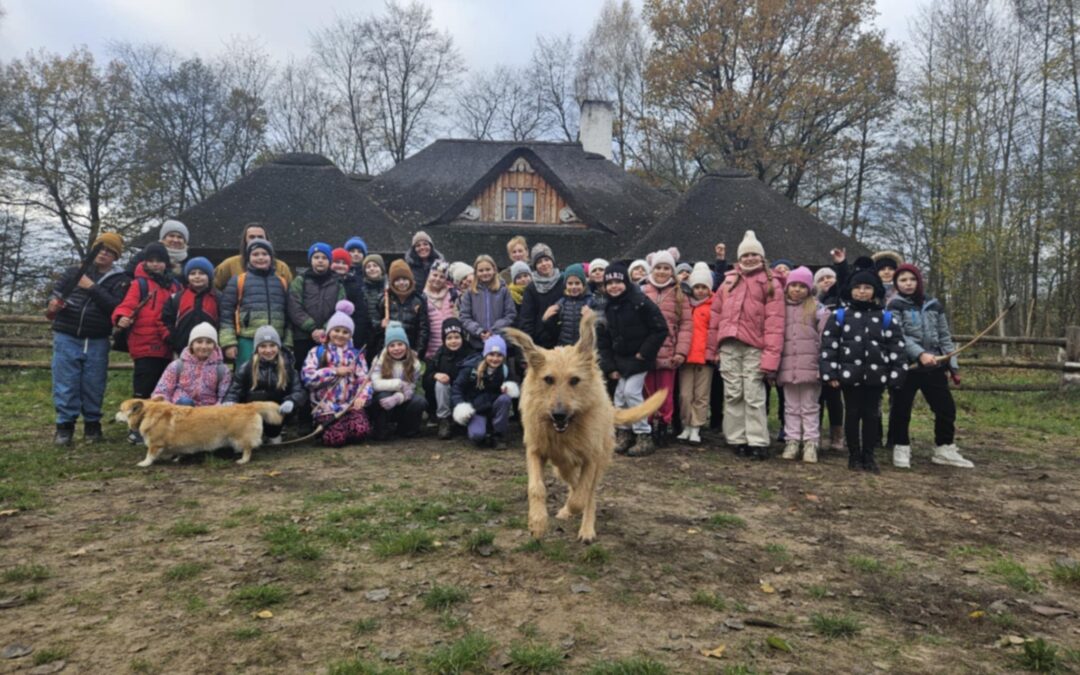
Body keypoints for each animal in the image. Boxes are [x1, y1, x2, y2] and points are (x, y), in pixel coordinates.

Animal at [116, 397, 282, 466]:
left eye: (121, 410)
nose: (113, 416)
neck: (146, 413)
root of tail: (250, 405)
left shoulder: (155, 444)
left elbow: (149, 455)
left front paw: (144, 463)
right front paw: (176, 458)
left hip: (240, 437)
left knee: (248, 449)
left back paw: (243, 460)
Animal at [505, 311, 665, 542]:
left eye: (574, 380)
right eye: (548, 379)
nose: (559, 415)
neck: (566, 431)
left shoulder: (592, 458)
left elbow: (582, 497)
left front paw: (574, 512)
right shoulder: (536, 451)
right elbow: (536, 487)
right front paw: (537, 522)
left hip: (597, 458)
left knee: (587, 492)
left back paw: (586, 528)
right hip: (562, 465)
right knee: (573, 481)